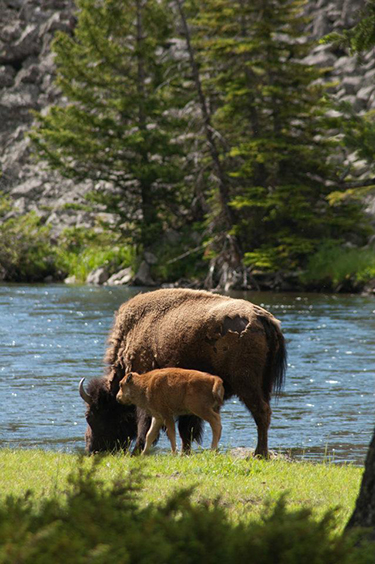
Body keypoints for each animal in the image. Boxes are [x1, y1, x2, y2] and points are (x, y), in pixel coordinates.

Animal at [80, 288, 288, 456]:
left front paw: (137, 451)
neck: (132, 334)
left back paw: (259, 454)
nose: (92, 449)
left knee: (261, 412)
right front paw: (184, 452)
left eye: (91, 416)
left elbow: (147, 425)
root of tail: (263, 318)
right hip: (264, 385)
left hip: (246, 384)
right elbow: (185, 429)